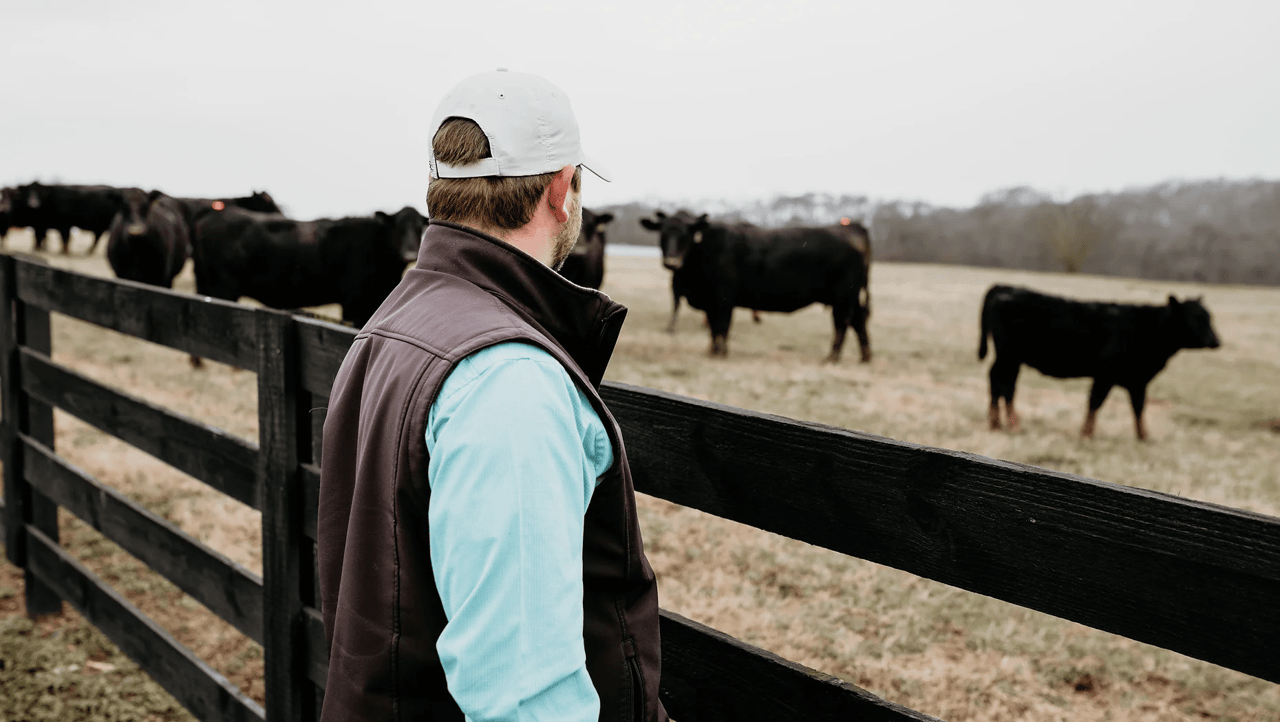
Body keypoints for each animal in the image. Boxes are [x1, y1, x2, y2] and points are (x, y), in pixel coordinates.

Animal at [192, 203, 427, 327]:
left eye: (419, 228)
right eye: (398, 228)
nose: (409, 253)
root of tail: (216, 211)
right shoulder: (353, 303)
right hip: (223, 289)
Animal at [640, 211, 870, 363]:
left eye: (685, 235)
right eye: (662, 233)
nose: (671, 262)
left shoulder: (723, 298)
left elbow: (721, 327)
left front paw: (720, 354)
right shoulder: (710, 301)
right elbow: (713, 328)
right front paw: (712, 351)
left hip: (843, 297)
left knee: (842, 324)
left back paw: (832, 358)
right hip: (849, 297)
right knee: (858, 321)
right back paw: (864, 357)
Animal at [977, 285, 1218, 437]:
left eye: (1209, 317)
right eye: (1195, 318)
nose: (1216, 341)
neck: (1145, 327)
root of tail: (1003, 291)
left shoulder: (1137, 380)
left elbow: (1139, 408)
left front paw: (1144, 437)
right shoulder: (1106, 374)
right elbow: (1095, 402)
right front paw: (1086, 434)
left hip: (1009, 359)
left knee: (997, 382)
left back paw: (996, 423)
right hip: (1009, 357)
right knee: (1005, 385)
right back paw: (1013, 424)